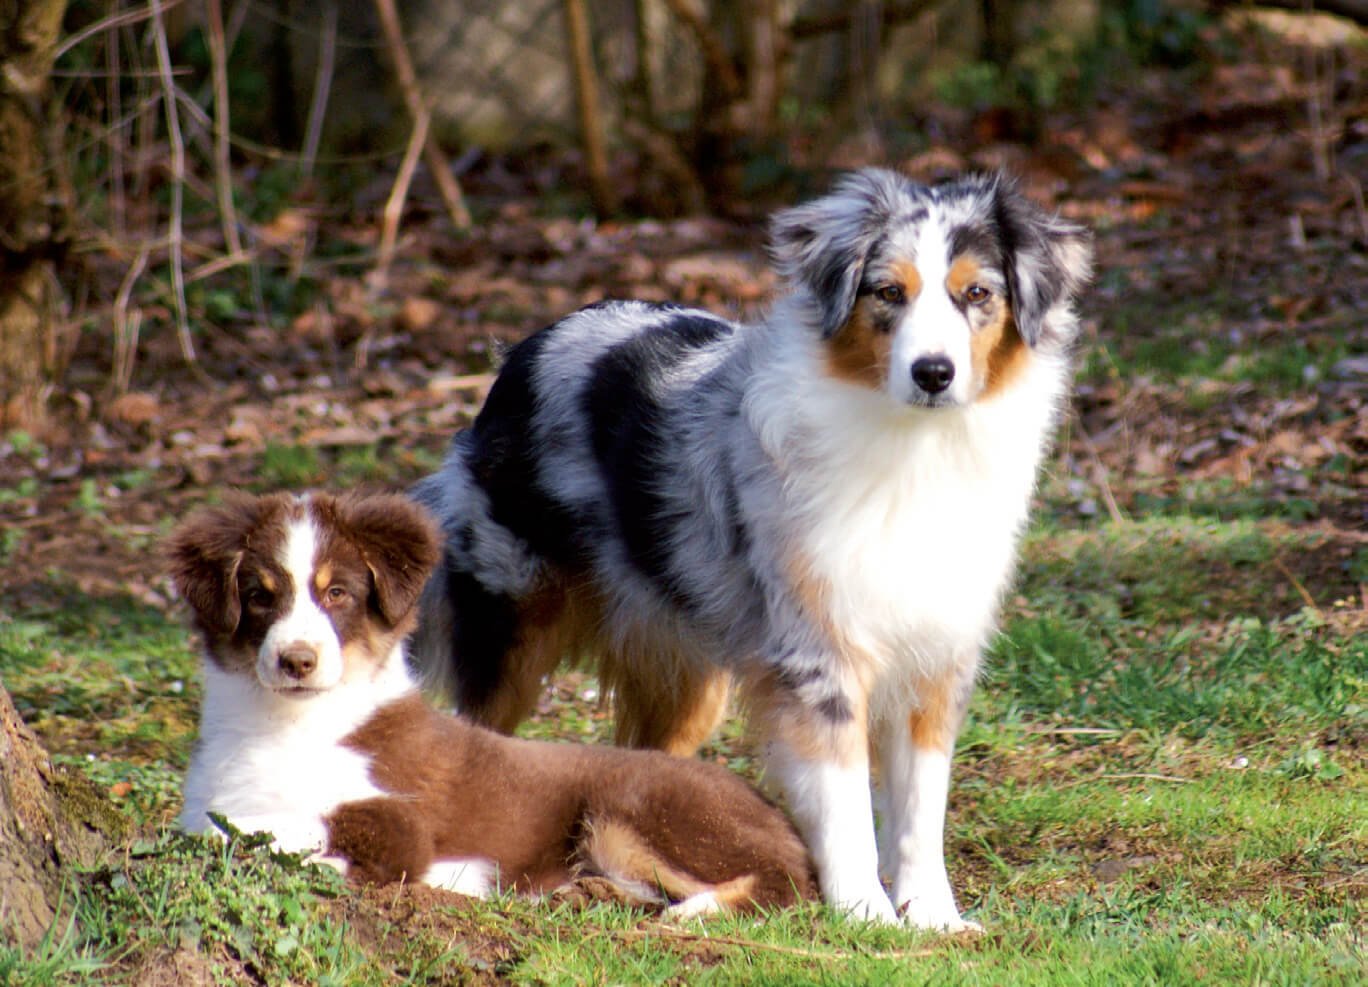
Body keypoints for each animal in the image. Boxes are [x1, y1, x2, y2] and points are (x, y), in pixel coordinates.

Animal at [166, 492, 815, 914]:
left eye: (338, 594)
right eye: (259, 596)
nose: (297, 660)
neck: (284, 724)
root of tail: (773, 809)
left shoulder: (400, 824)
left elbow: (282, 832)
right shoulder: (203, 802)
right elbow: (218, 824)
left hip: (633, 807)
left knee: (785, 885)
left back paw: (692, 911)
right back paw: (586, 892)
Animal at [410, 165, 1094, 925]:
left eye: (977, 294)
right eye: (889, 292)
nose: (933, 372)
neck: (914, 445)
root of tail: (524, 348)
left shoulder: (937, 653)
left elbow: (922, 805)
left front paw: (934, 918)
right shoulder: (817, 653)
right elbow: (845, 802)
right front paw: (865, 914)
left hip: (684, 671)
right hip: (511, 620)